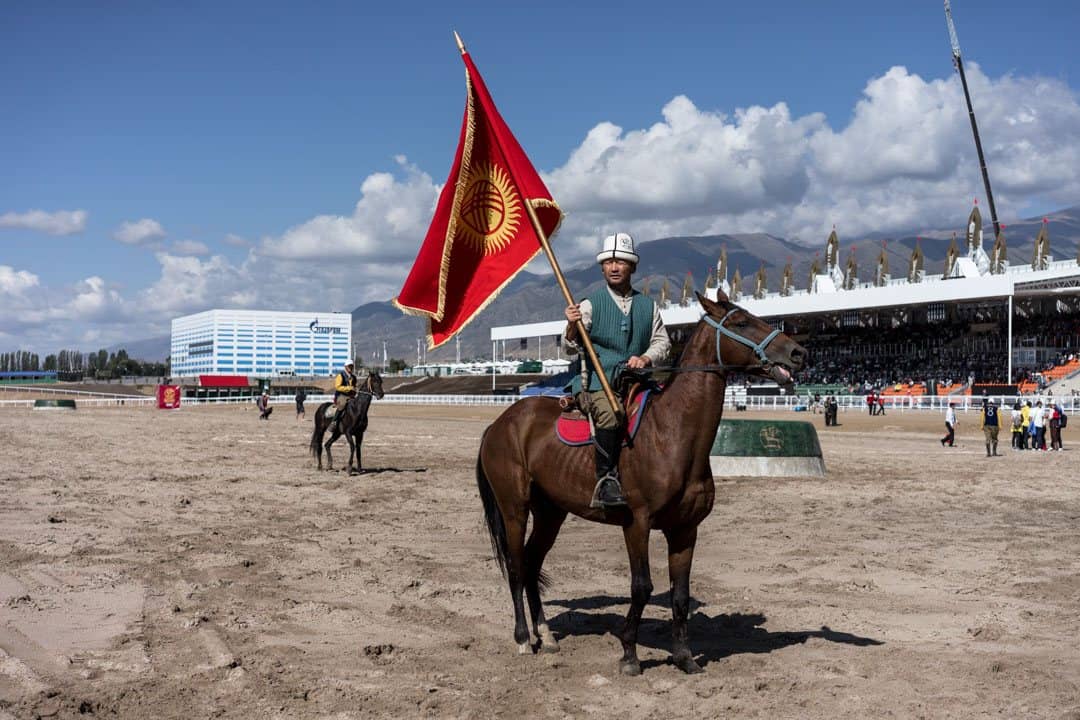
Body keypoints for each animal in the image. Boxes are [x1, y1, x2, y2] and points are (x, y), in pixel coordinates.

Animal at [477, 293, 807, 677]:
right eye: (742, 323)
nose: (798, 353)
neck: (672, 433)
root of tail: (502, 422)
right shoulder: (637, 523)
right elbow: (641, 587)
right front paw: (629, 655)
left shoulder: (685, 529)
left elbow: (680, 594)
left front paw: (684, 657)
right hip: (514, 508)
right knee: (516, 566)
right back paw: (522, 639)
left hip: (550, 513)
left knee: (531, 564)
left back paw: (546, 635)